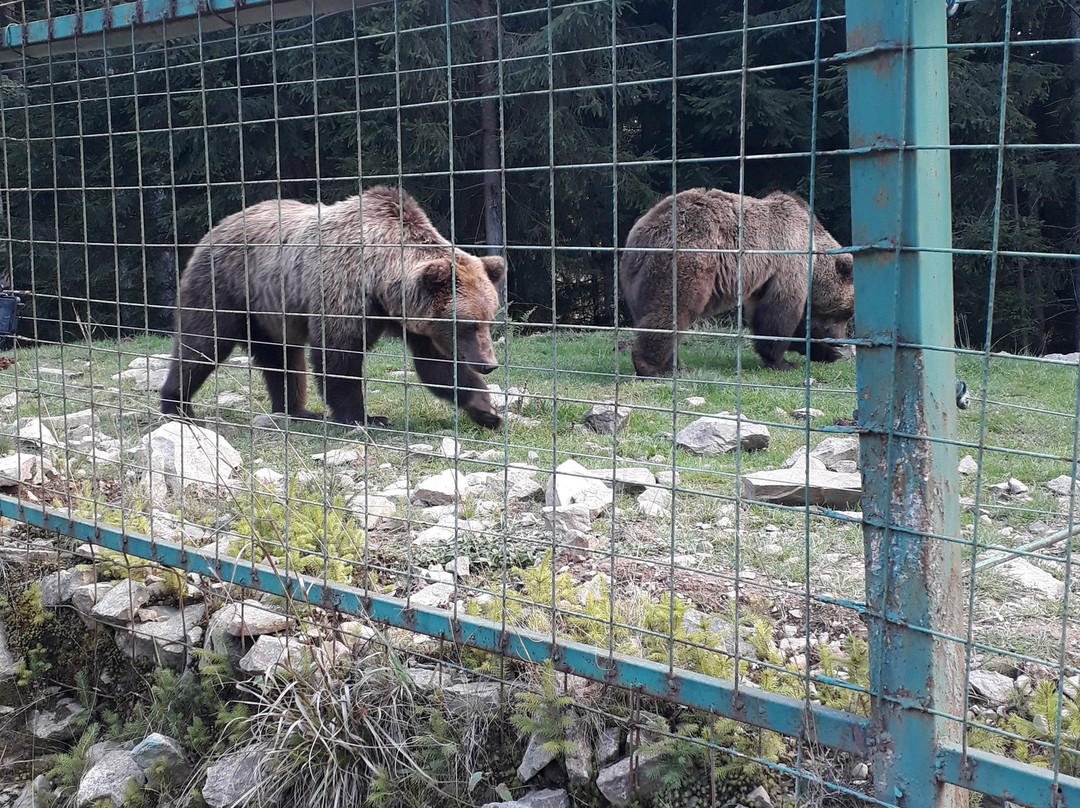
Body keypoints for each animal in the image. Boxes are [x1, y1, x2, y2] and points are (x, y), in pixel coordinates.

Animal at [159, 184, 505, 429]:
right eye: (468, 324)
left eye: (489, 319)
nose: (489, 364)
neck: (380, 284)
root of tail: (217, 226)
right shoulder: (344, 290)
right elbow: (339, 356)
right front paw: (363, 417)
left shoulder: (418, 321)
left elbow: (437, 366)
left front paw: (486, 409)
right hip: (226, 286)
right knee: (202, 344)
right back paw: (176, 405)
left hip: (269, 310)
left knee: (282, 358)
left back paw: (297, 410)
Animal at [622, 189, 855, 378]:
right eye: (845, 314)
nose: (840, 344)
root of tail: (641, 234)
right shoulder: (789, 261)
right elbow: (780, 312)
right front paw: (784, 362)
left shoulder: (762, 279)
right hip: (686, 259)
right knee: (670, 311)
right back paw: (653, 368)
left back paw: (678, 367)